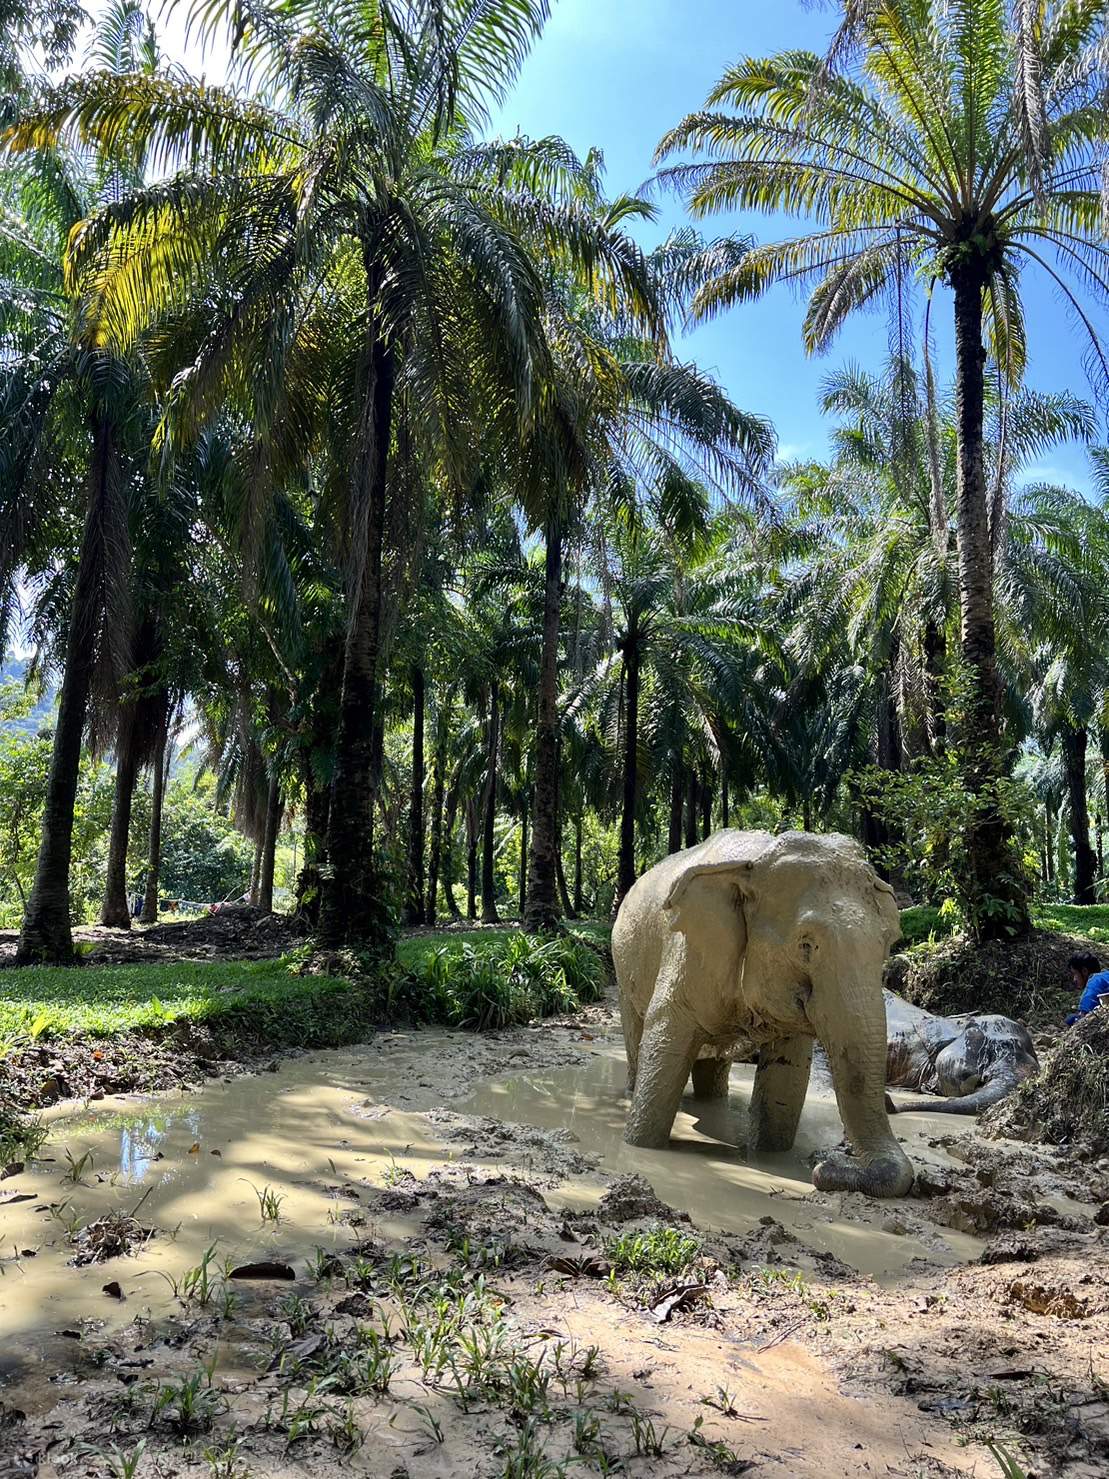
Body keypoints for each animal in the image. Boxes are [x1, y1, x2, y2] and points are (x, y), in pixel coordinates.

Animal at [612, 829, 914, 1198]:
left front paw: (770, 1157)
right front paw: (639, 1146)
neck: (754, 861)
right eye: (806, 945)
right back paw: (632, 1090)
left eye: (888, 943)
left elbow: (787, 1075)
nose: (825, 1167)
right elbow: (664, 1046)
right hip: (623, 972)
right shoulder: (686, 952)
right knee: (636, 1035)